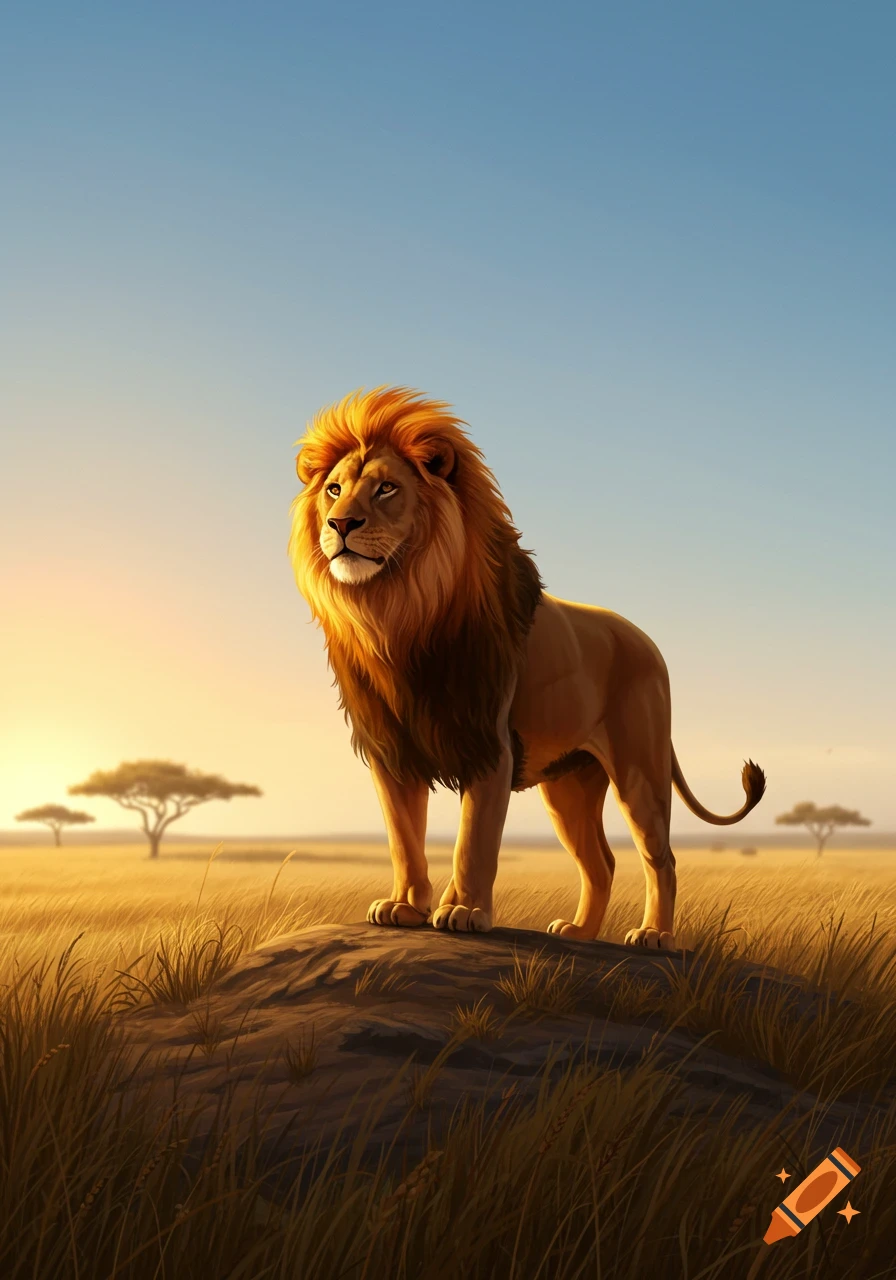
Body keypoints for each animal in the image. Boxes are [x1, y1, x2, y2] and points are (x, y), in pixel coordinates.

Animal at [288, 386, 765, 949]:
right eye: (334, 489)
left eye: (386, 488)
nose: (340, 524)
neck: (398, 613)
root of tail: (648, 642)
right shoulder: (392, 752)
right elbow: (403, 838)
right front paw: (404, 906)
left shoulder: (490, 745)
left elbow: (473, 841)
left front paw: (464, 910)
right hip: (568, 785)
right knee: (601, 862)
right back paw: (579, 932)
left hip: (639, 770)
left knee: (660, 857)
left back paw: (654, 936)